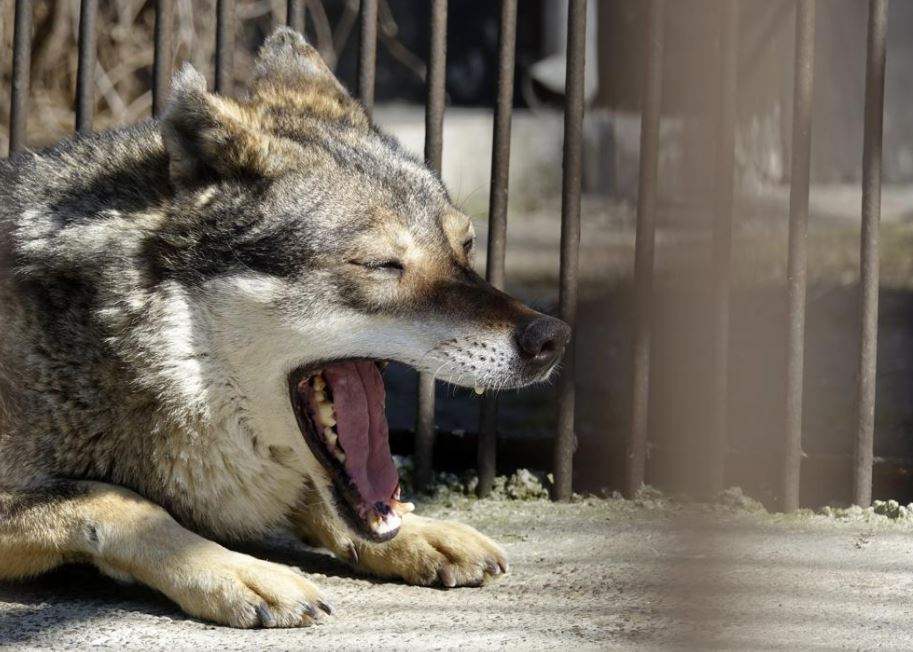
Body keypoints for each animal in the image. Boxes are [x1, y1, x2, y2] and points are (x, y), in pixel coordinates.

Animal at [0, 28, 571, 628]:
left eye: (465, 246)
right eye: (383, 265)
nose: (550, 338)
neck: (100, 339)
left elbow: (314, 498)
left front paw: (418, 532)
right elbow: (119, 501)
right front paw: (237, 572)